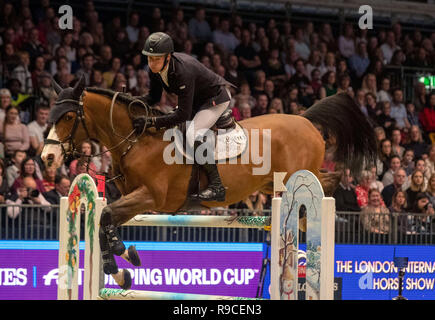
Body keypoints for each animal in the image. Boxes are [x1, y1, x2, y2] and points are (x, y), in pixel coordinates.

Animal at [43, 76, 378, 288]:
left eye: (68, 117)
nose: (47, 157)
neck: (137, 141)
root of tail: (305, 119)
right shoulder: (133, 201)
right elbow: (105, 221)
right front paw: (123, 266)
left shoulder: (151, 197)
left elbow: (107, 216)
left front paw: (119, 263)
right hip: (271, 184)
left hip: (295, 175)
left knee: (325, 183)